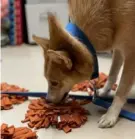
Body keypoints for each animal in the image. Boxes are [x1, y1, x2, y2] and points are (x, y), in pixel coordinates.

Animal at [32, 0, 135, 128]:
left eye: (54, 83)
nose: (47, 101)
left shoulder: (131, 55)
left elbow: (121, 90)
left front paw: (111, 115)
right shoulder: (118, 48)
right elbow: (112, 74)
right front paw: (104, 91)